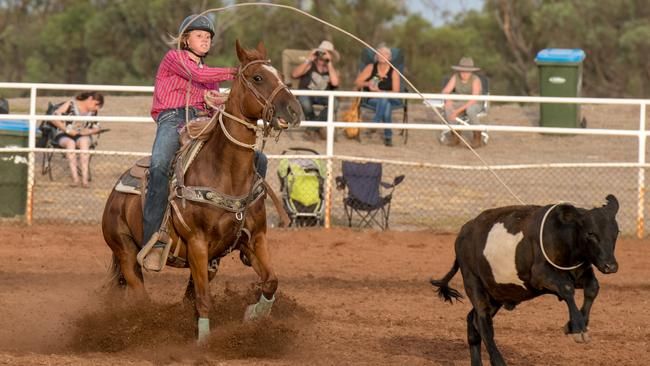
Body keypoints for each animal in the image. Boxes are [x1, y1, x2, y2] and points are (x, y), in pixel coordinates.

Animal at [100, 41, 302, 342]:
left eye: (279, 75)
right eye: (257, 77)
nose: (294, 111)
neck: (225, 172)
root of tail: (115, 194)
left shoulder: (254, 238)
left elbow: (270, 281)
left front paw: (254, 315)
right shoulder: (197, 243)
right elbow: (204, 299)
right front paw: (204, 341)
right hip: (125, 251)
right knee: (141, 295)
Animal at [430, 194, 616, 366]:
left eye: (616, 233)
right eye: (591, 233)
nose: (611, 266)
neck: (562, 236)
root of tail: (463, 232)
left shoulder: (580, 273)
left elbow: (592, 288)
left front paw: (574, 325)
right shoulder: (540, 275)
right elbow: (567, 288)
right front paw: (577, 328)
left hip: (496, 293)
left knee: (473, 321)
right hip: (474, 283)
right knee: (483, 323)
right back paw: (498, 361)